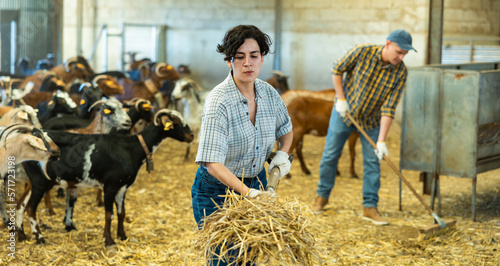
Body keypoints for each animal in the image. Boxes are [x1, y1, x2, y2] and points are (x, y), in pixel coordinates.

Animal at [18, 109, 193, 246]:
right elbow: (109, 214)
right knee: (30, 208)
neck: (133, 148)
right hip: (40, 181)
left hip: (33, 182)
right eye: (175, 121)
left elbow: (122, 213)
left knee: (20, 204)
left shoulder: (123, 187)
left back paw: (22, 236)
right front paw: (108, 241)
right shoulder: (110, 185)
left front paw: (122, 236)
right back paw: (39, 238)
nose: (191, 135)